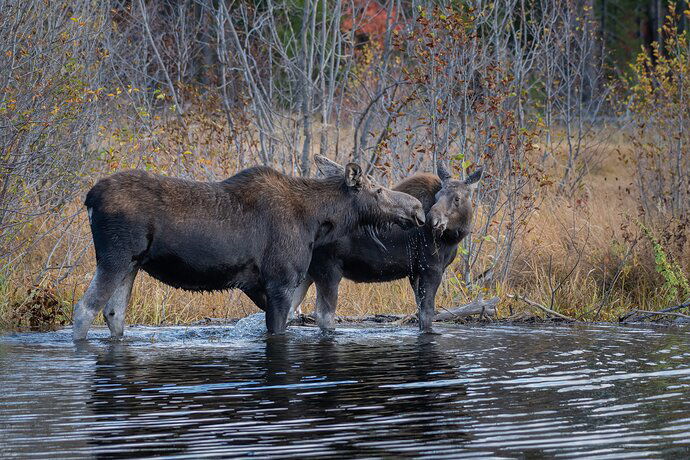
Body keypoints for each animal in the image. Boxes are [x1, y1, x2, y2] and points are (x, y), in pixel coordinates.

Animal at [71, 158, 424, 342]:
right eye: (377, 190)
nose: (417, 208)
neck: (316, 220)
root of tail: (89, 198)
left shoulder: (262, 285)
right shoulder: (281, 280)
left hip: (132, 263)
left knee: (114, 313)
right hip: (114, 258)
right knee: (84, 309)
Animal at [288, 157, 478, 330]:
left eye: (457, 198)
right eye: (438, 196)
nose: (432, 220)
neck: (453, 236)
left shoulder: (415, 272)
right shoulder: (431, 268)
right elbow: (427, 316)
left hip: (306, 273)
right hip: (328, 269)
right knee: (324, 317)